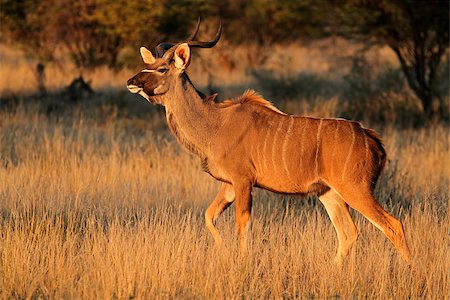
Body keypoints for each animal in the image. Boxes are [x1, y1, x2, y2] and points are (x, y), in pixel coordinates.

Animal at [126, 19, 412, 264]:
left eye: (162, 68)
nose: (131, 82)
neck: (214, 124)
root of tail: (372, 139)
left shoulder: (243, 181)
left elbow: (241, 225)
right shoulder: (228, 185)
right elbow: (209, 216)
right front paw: (221, 250)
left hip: (355, 189)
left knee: (393, 225)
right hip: (329, 193)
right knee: (349, 232)